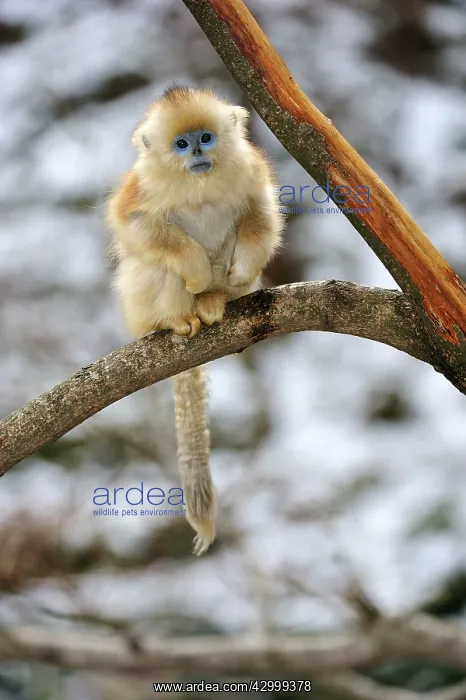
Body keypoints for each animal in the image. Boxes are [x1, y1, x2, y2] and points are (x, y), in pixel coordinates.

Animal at [107, 85, 284, 555]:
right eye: (182, 145)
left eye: (206, 137)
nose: (199, 154)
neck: (199, 185)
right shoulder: (139, 193)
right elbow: (139, 226)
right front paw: (197, 272)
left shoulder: (252, 175)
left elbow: (260, 214)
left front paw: (235, 273)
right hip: (140, 302)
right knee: (156, 265)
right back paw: (181, 317)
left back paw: (214, 300)